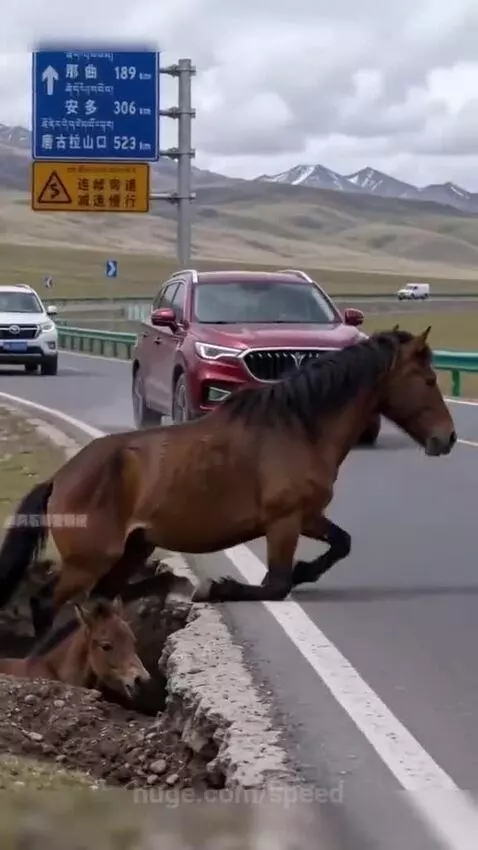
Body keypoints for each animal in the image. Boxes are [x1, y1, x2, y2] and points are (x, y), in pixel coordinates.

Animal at [0, 326, 456, 632]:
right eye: (429, 380)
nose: (447, 438)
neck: (297, 427)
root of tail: (61, 478)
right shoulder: (283, 521)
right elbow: (275, 584)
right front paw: (217, 589)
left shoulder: (307, 515)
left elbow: (340, 544)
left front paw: (306, 571)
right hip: (89, 561)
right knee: (45, 603)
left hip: (129, 553)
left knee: (95, 605)